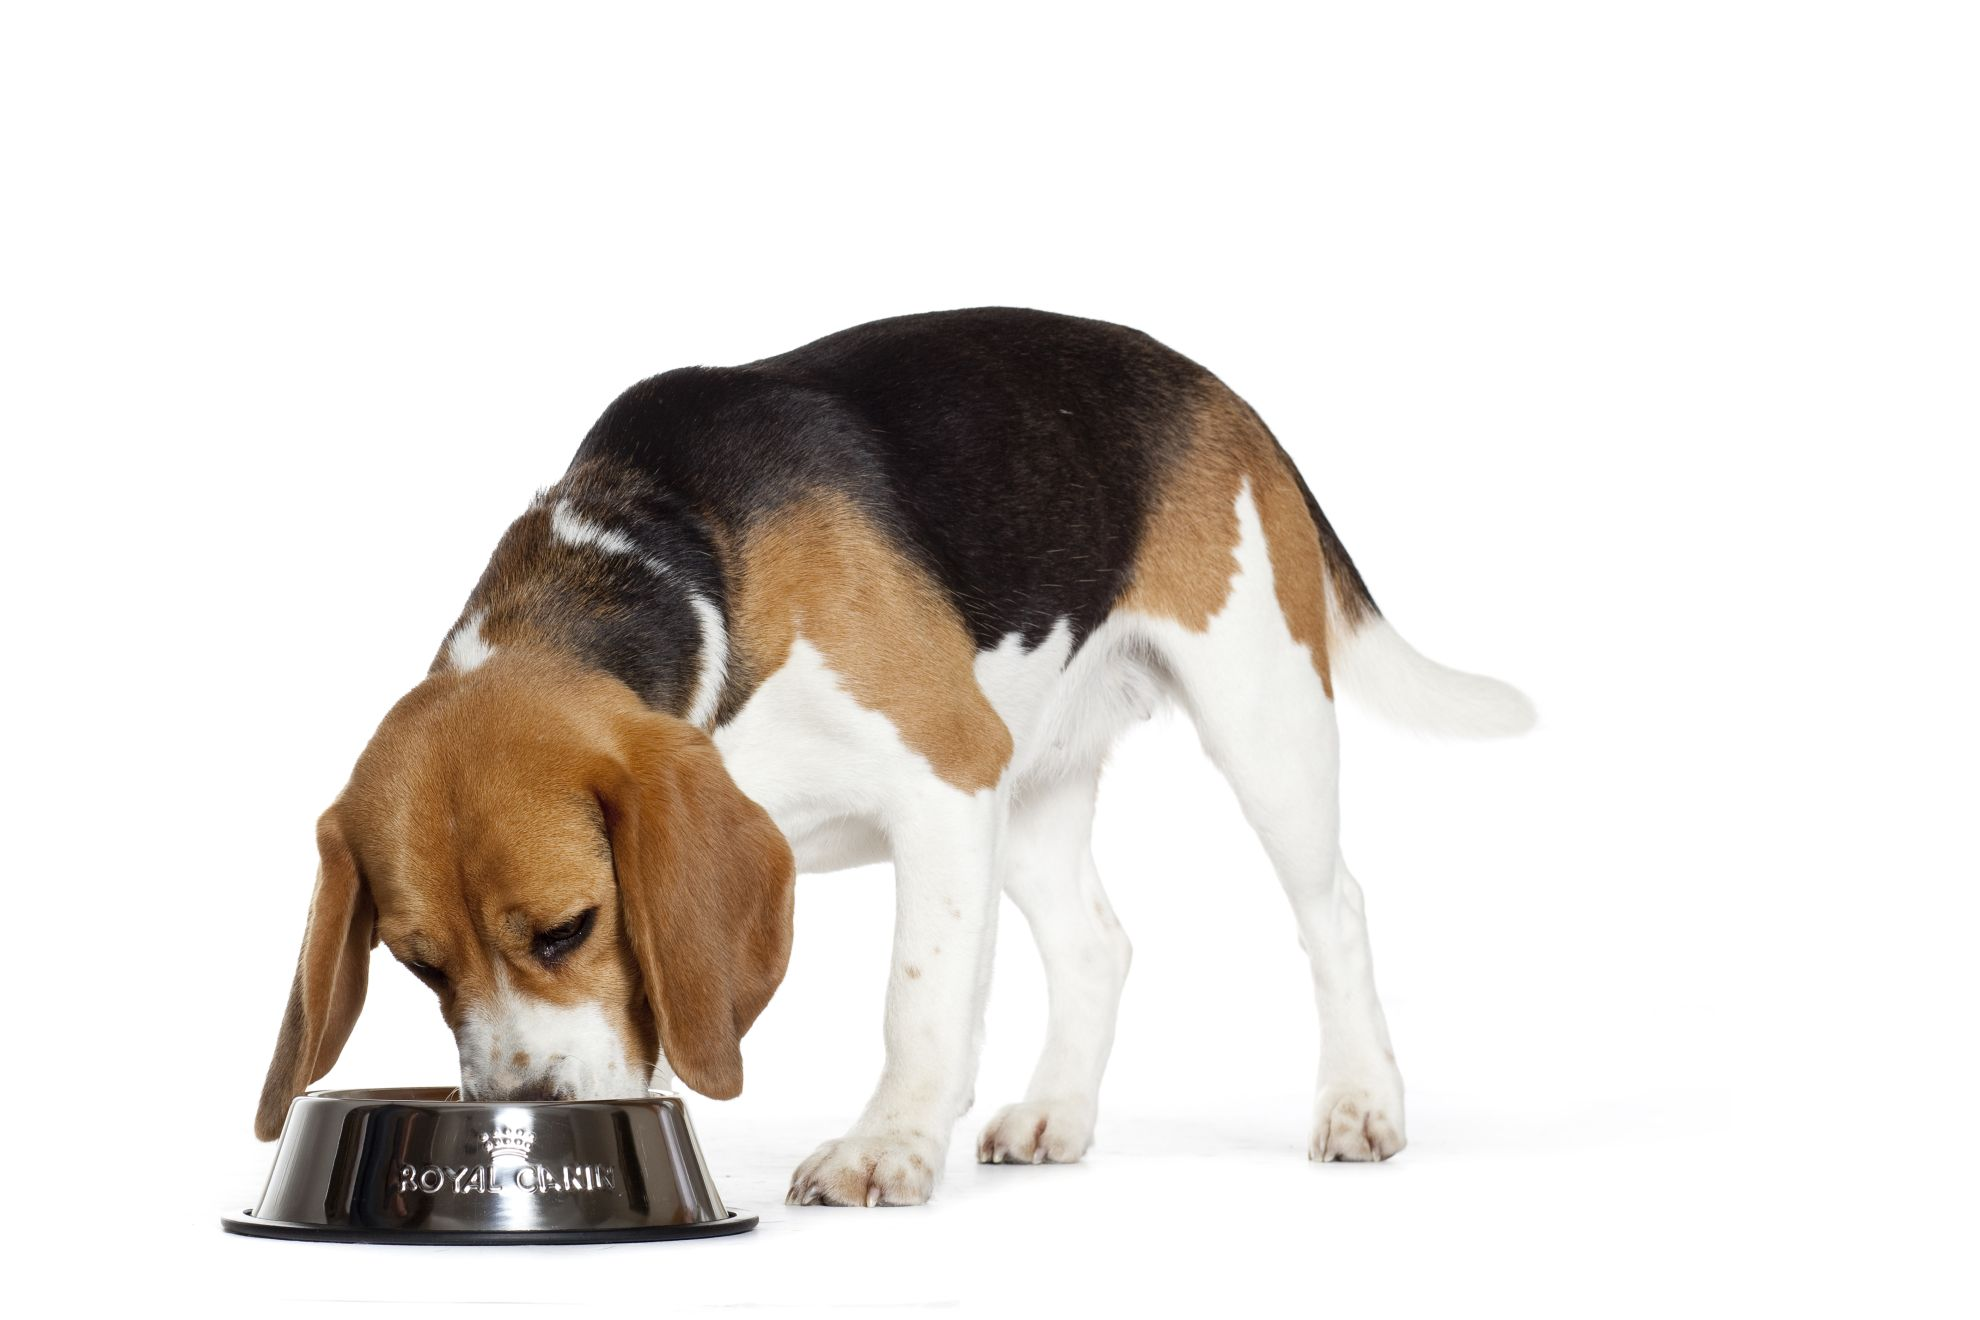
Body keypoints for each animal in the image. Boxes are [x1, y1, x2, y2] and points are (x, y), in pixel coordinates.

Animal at [255, 306, 1528, 1211]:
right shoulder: (974, 790)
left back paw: (1361, 1103)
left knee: (1335, 908)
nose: (521, 1113)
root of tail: (1220, 388)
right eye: (419, 966)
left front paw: (887, 1148)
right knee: (1098, 945)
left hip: (1258, 714)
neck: (674, 567)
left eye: (569, 931)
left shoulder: (946, 777)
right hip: (1034, 780)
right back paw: (1058, 1113)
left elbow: (916, 997)